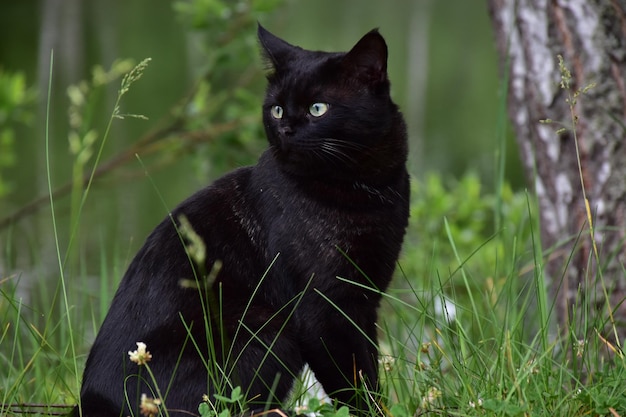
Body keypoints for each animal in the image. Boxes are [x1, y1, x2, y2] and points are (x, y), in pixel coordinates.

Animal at [77, 25, 410, 416]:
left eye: (318, 108)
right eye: (277, 110)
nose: (287, 129)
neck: (362, 190)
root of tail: (90, 400)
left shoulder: (365, 298)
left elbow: (367, 366)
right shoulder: (325, 308)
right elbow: (354, 382)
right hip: (267, 331)